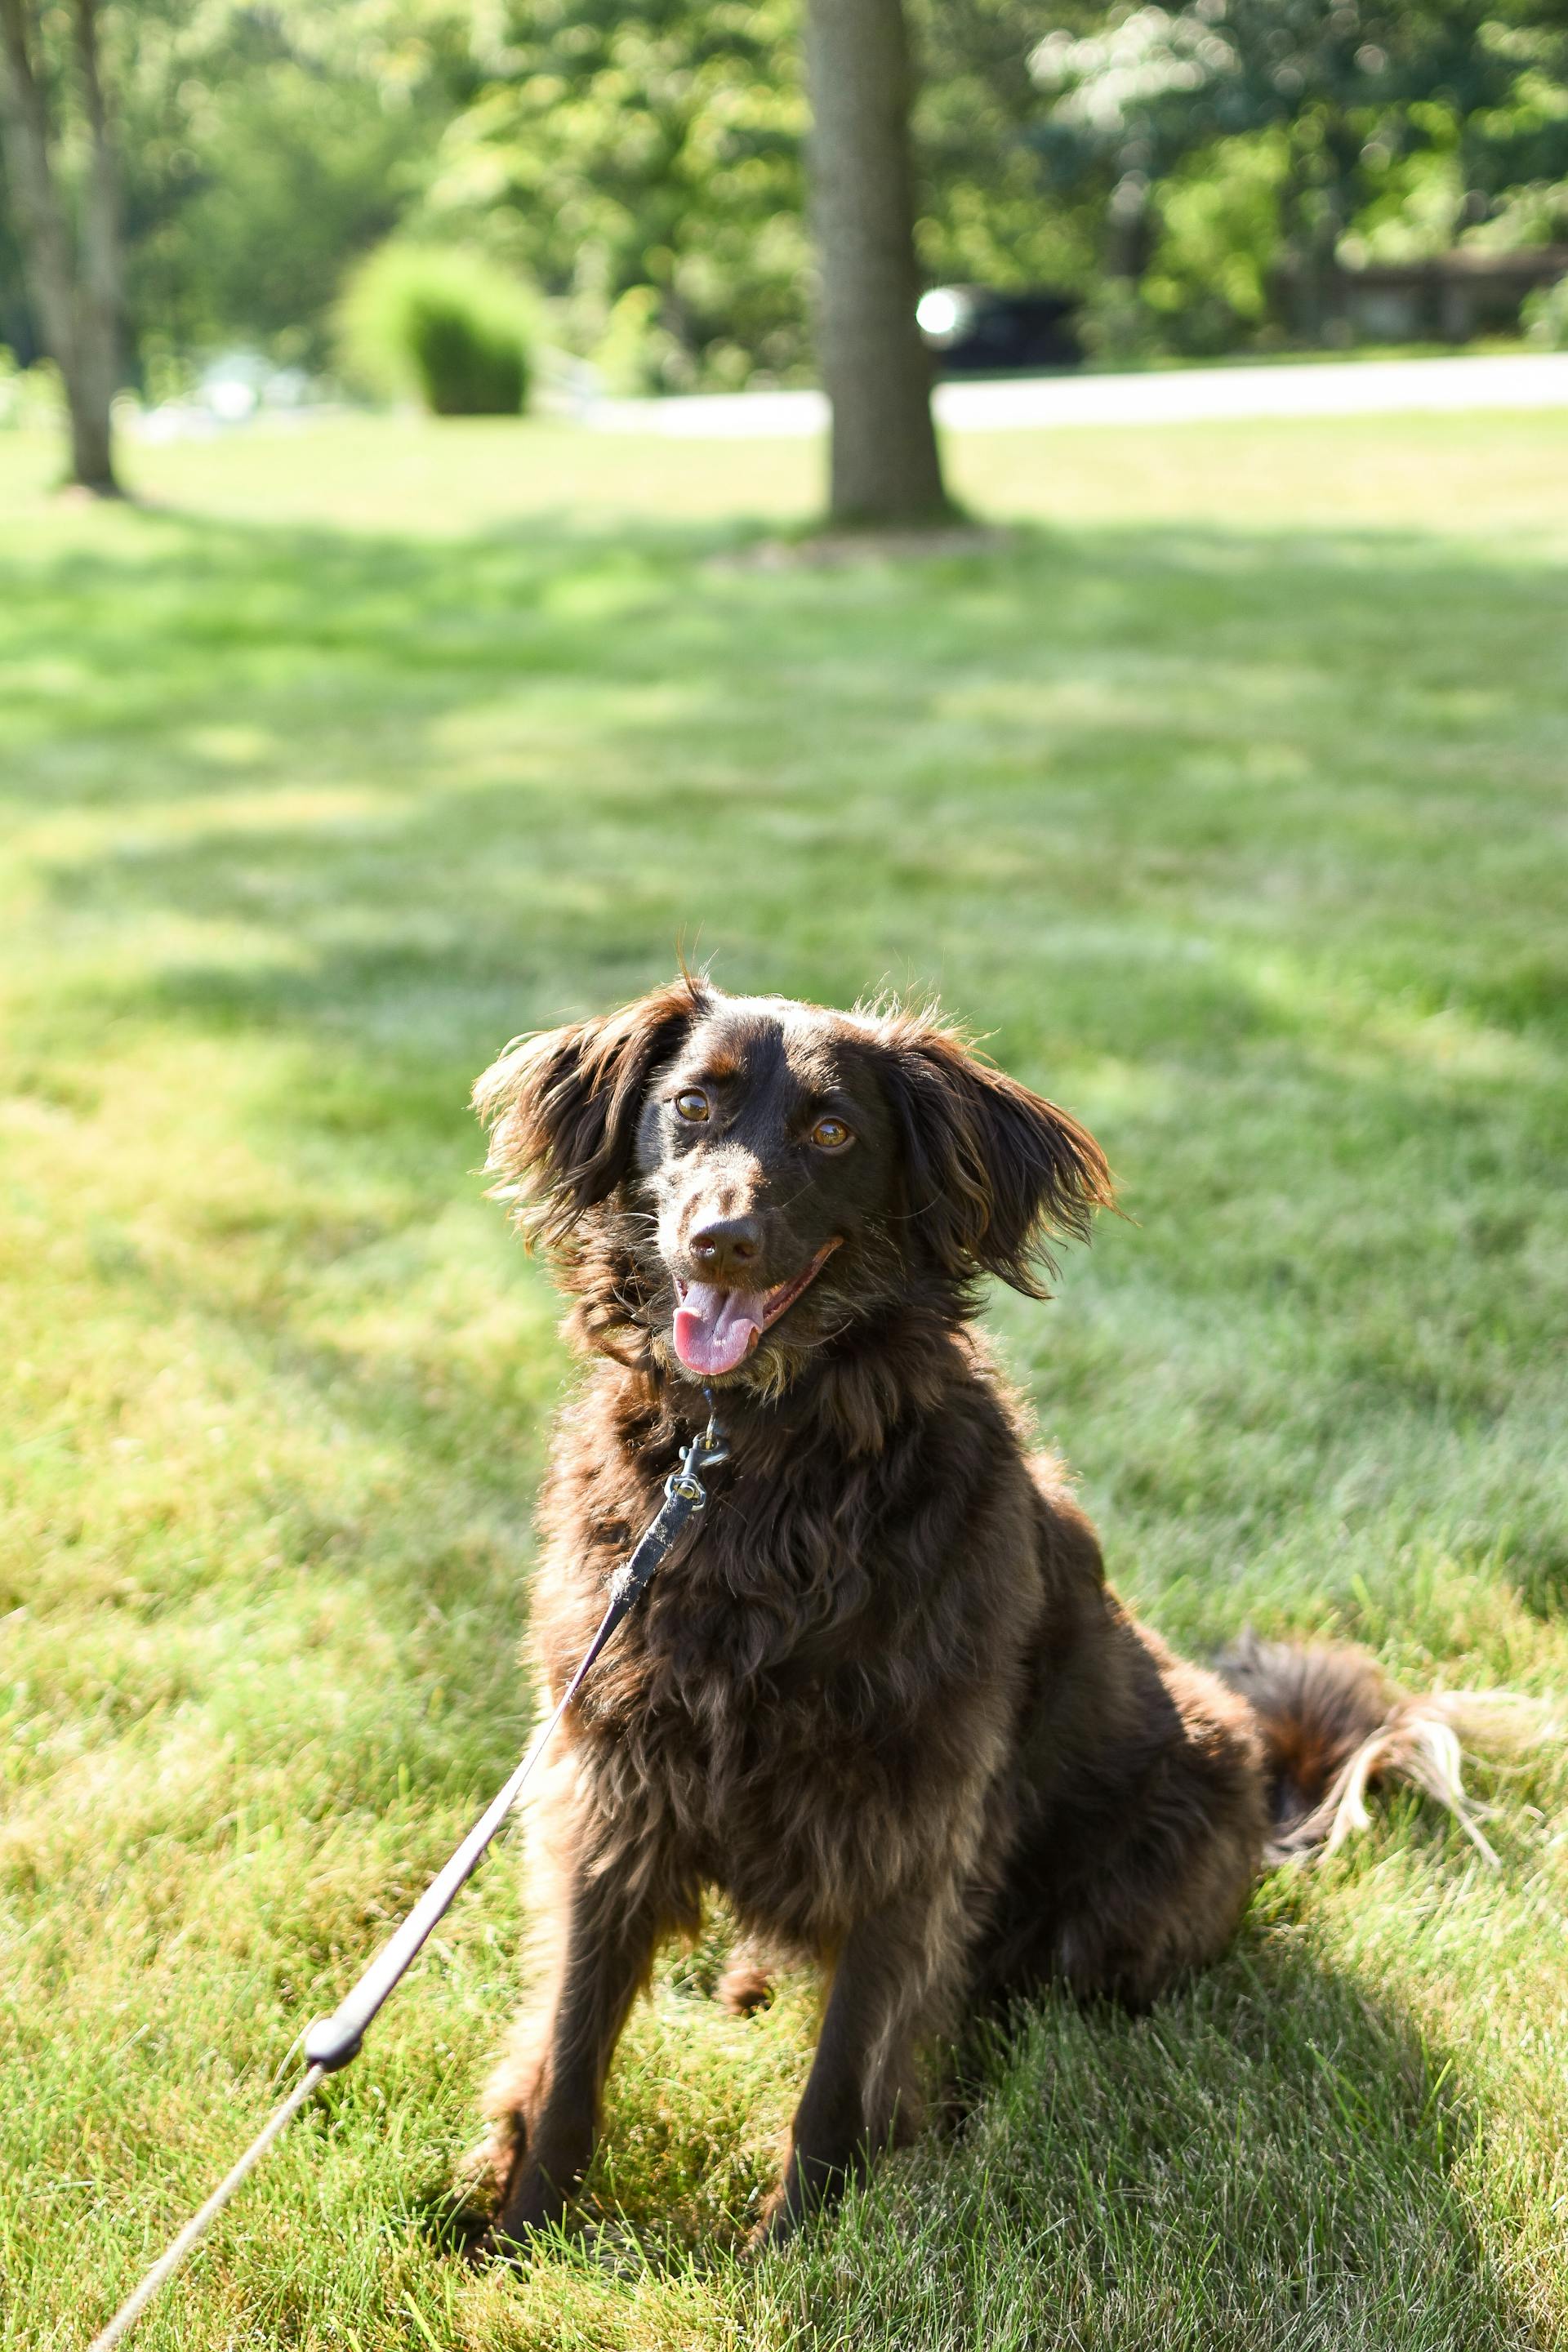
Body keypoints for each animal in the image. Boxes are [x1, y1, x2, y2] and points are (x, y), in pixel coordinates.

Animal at [472, 973, 1476, 2238]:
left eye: (833, 1131)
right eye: (691, 1105)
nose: (721, 1242)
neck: (752, 1466)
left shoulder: (911, 1828)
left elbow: (843, 2076)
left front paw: (800, 2247)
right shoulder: (611, 1794)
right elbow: (572, 2045)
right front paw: (520, 2234)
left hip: (1122, 1893)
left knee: (1011, 2009)